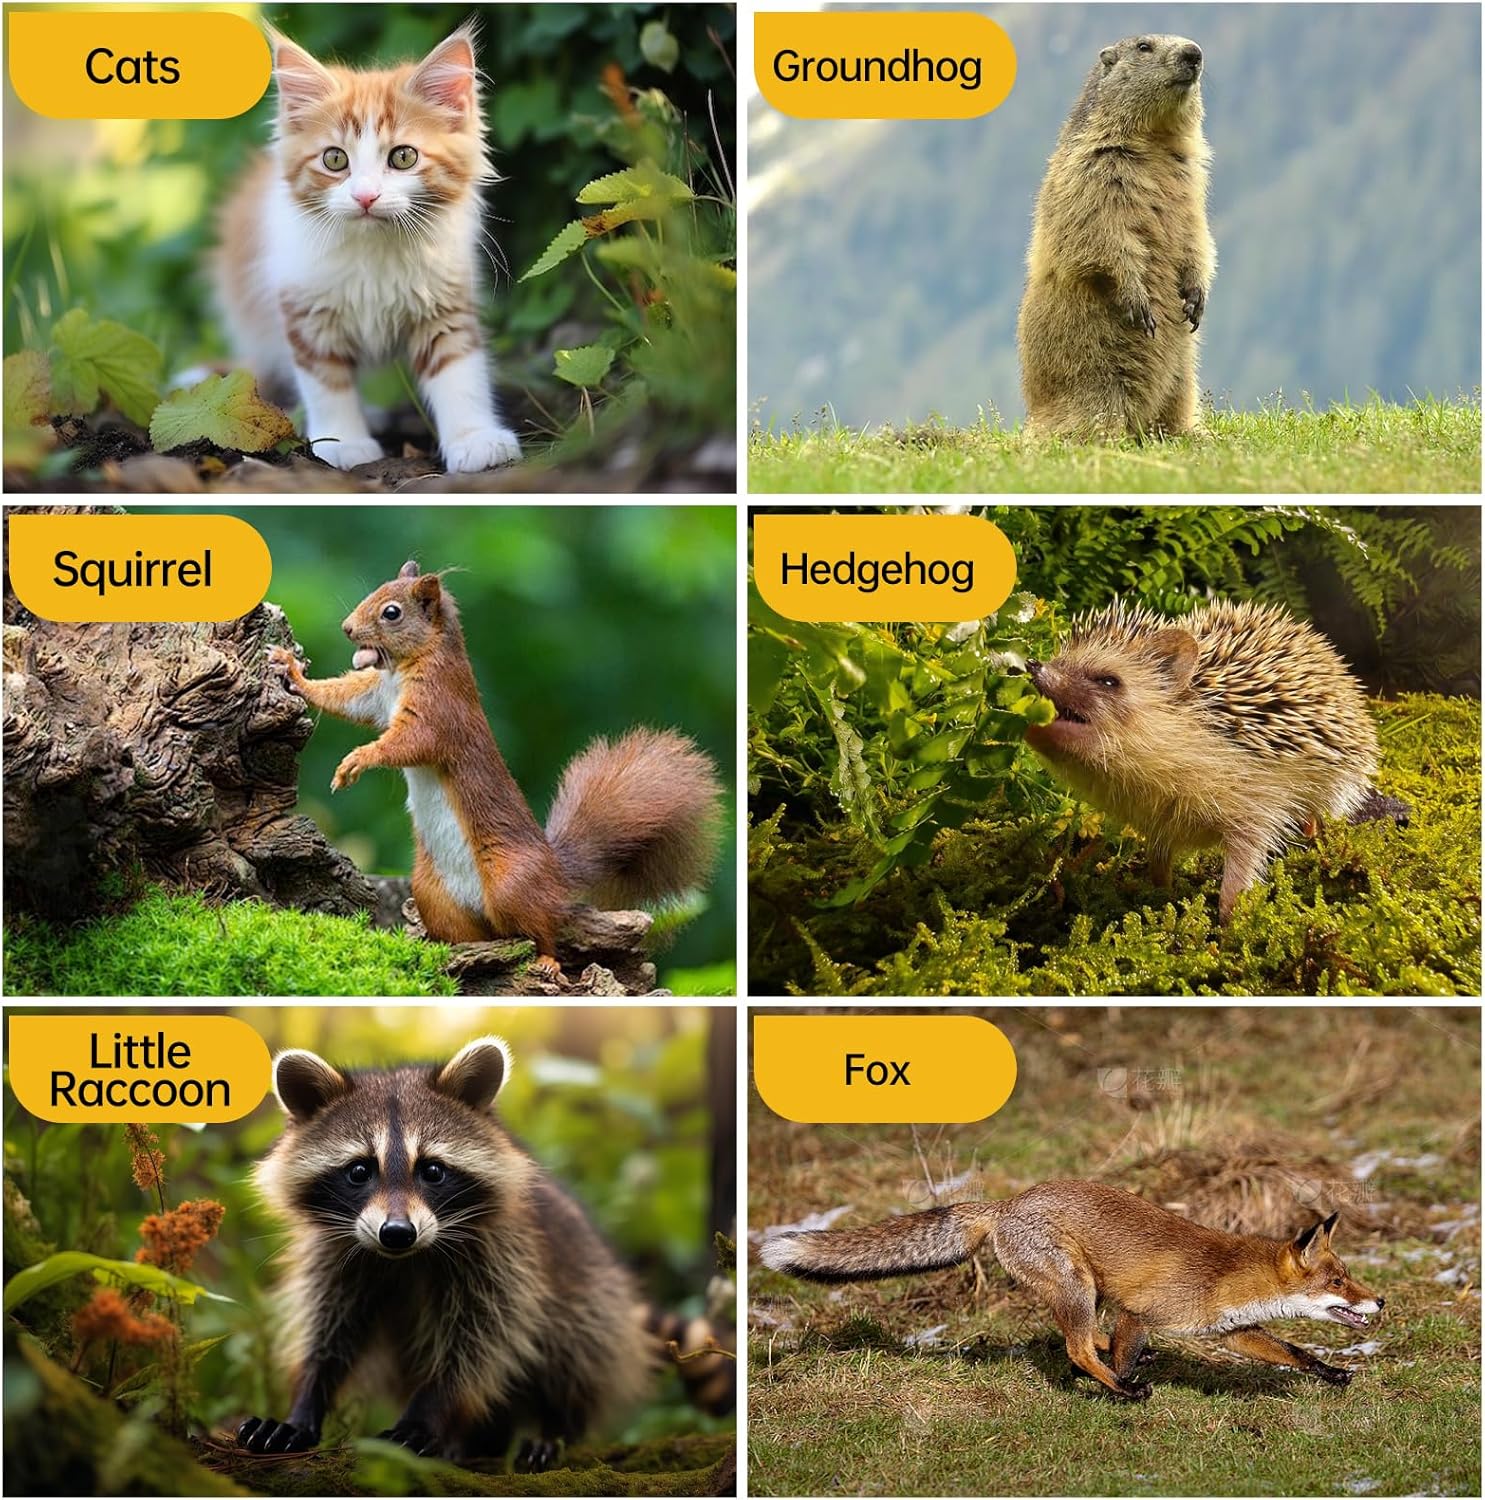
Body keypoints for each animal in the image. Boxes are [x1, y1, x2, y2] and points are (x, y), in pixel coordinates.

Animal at [268, 560, 721, 977]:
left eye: (391, 612)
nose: (346, 628)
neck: (407, 667)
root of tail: (555, 874)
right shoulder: (376, 696)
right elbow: (344, 697)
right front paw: (291, 670)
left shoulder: (438, 712)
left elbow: (407, 743)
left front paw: (355, 761)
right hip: (433, 893)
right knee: (479, 933)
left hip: (510, 883)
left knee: (543, 928)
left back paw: (547, 961)